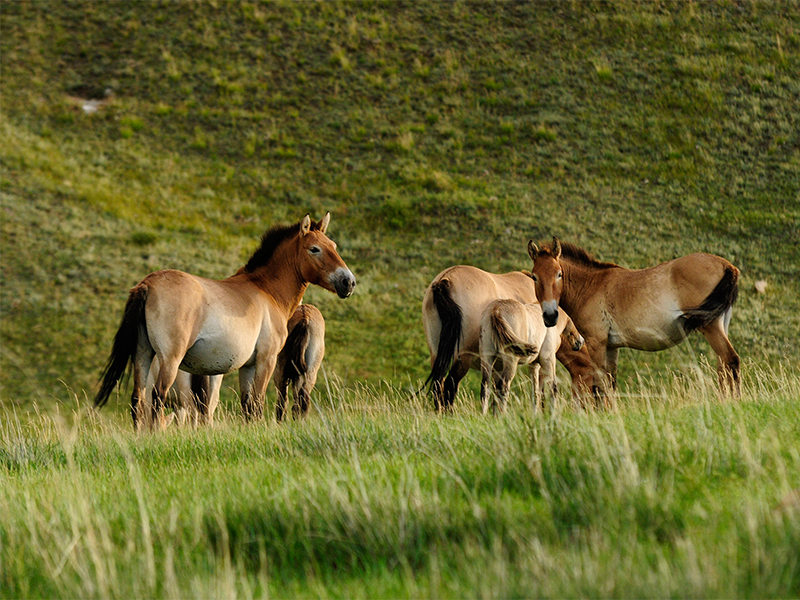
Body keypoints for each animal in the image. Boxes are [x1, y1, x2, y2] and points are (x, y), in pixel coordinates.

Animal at [94, 213, 356, 428]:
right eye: (315, 249)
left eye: (333, 246)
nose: (349, 282)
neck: (266, 289)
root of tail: (148, 284)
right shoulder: (267, 360)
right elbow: (258, 404)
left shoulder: (248, 366)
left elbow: (248, 408)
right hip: (170, 360)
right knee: (158, 399)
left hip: (143, 354)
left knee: (138, 400)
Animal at [422, 268, 596, 412]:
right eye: (595, 386)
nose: (579, 342)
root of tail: (444, 280)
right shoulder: (541, 360)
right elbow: (541, 390)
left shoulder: (500, 366)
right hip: (464, 358)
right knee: (450, 387)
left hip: (439, 355)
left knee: (439, 385)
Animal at [528, 237, 740, 396]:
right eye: (535, 277)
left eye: (559, 274)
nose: (550, 315)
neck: (591, 286)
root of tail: (727, 265)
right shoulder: (611, 346)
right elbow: (610, 383)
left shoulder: (597, 342)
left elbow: (600, 385)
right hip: (720, 324)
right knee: (724, 367)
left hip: (710, 326)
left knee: (730, 360)